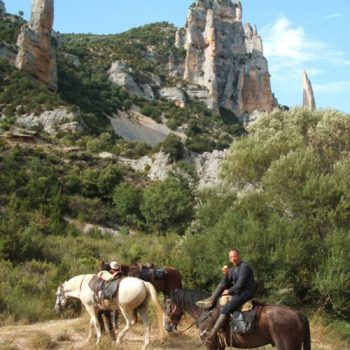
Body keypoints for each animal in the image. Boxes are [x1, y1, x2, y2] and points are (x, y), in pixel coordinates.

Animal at [163, 288, 310, 350]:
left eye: (166, 306)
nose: (166, 327)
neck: (205, 312)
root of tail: (298, 314)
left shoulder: (210, 343)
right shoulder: (219, 345)